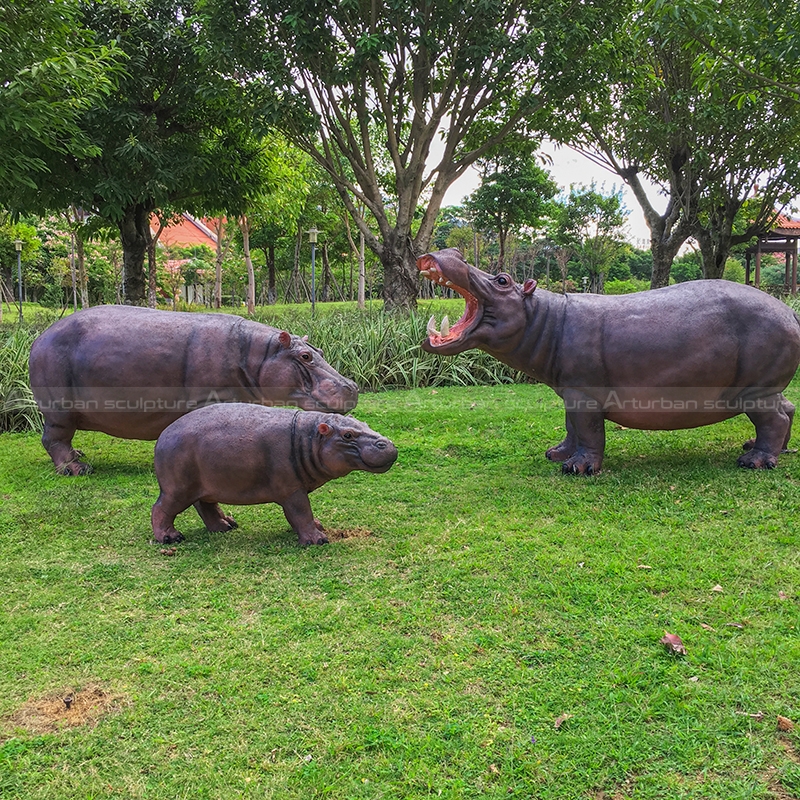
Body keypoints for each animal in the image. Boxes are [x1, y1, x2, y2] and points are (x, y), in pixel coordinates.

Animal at [29, 304, 358, 472]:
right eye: (304, 357)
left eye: (320, 351)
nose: (352, 385)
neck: (257, 354)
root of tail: (40, 337)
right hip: (59, 410)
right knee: (53, 439)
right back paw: (76, 469)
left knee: (62, 440)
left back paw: (80, 455)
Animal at [150, 406, 396, 544]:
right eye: (347, 435)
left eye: (364, 423)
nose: (388, 444)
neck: (310, 438)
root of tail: (163, 435)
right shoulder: (292, 489)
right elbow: (301, 513)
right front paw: (318, 540)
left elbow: (298, 516)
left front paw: (318, 527)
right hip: (177, 489)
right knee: (160, 508)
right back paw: (171, 538)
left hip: (206, 485)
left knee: (205, 505)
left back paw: (226, 525)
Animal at [418, 250, 800, 472]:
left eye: (502, 279)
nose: (448, 251)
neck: (543, 316)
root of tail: (790, 312)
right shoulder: (571, 393)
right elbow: (571, 427)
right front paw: (556, 454)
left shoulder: (585, 394)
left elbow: (588, 430)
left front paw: (578, 469)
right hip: (766, 388)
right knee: (788, 408)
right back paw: (766, 450)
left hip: (755, 391)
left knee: (776, 417)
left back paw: (753, 461)